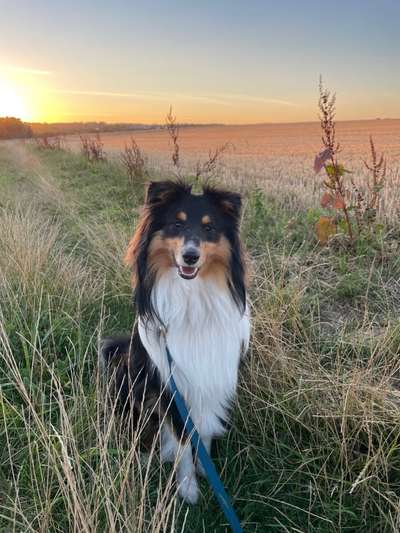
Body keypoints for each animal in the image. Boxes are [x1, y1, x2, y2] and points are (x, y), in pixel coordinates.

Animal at [100, 179, 250, 502]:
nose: (190, 256)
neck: (193, 298)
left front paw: (205, 467)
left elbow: (203, 431)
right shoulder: (171, 390)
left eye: (209, 228)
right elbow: (182, 442)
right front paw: (188, 485)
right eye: (177, 224)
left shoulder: (209, 378)